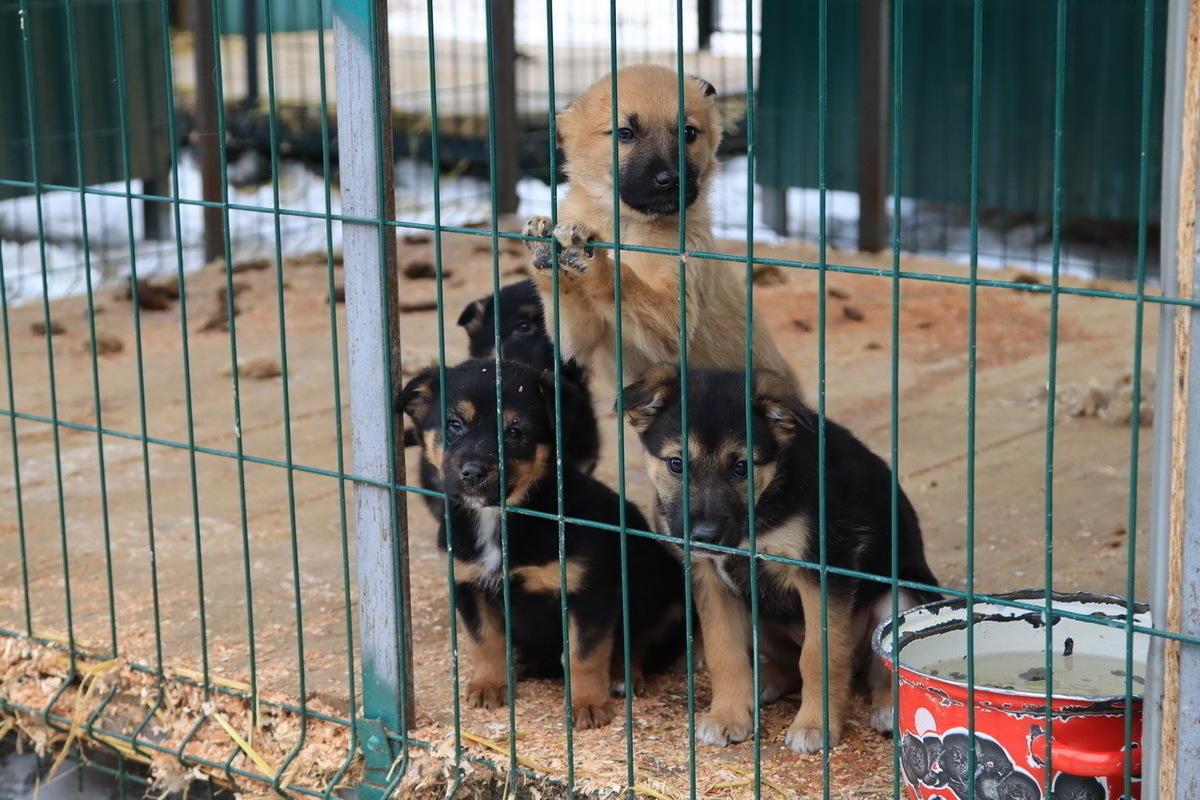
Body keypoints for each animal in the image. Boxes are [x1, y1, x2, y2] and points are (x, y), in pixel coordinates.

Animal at [398, 359, 686, 729]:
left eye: (515, 432)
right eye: (454, 424)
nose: (472, 473)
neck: (499, 519)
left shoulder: (589, 592)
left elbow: (583, 654)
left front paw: (588, 705)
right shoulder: (467, 584)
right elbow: (484, 641)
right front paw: (488, 685)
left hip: (671, 601)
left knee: (640, 641)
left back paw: (622, 674)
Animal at [525, 64, 796, 388]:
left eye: (689, 132)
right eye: (625, 133)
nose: (671, 180)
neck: (626, 225)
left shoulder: (676, 316)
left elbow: (625, 280)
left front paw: (593, 258)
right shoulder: (579, 337)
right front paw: (542, 247)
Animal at [624, 367, 940, 753]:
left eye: (741, 467)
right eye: (676, 464)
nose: (705, 535)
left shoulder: (821, 573)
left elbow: (821, 656)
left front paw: (815, 726)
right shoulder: (708, 577)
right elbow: (723, 651)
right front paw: (728, 715)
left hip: (905, 594)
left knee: (882, 669)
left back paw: (890, 709)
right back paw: (763, 680)